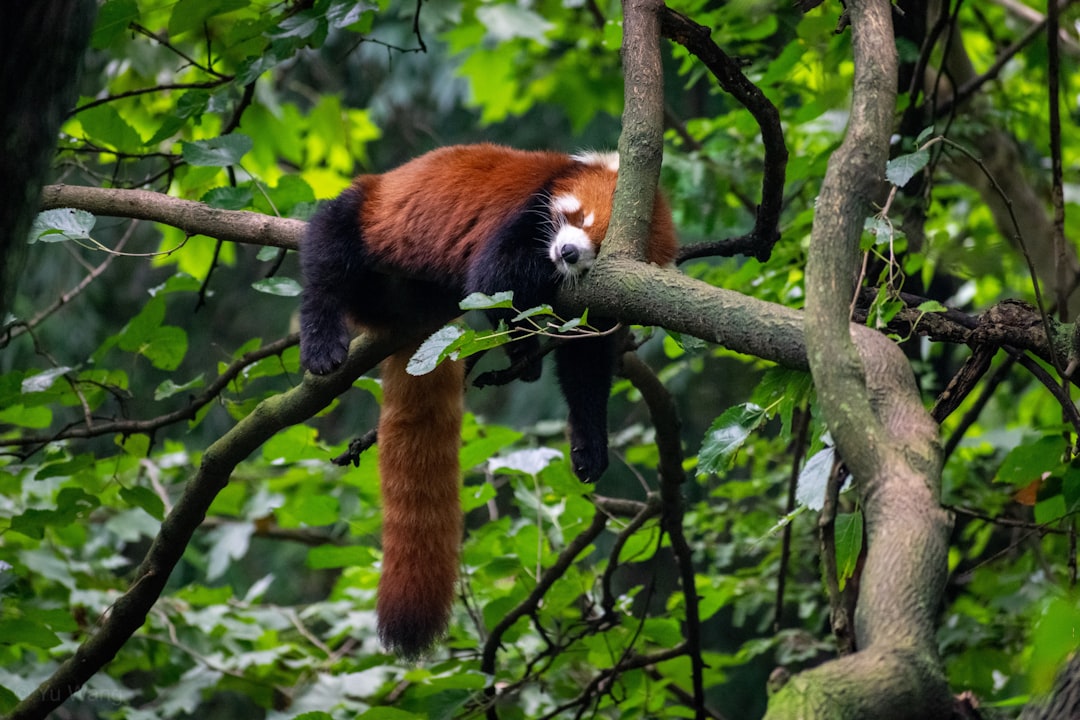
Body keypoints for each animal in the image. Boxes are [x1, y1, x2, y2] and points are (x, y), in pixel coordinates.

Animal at [298, 144, 673, 660]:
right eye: (578, 216)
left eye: (599, 247)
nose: (568, 252)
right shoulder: (525, 214)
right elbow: (496, 279)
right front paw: (524, 336)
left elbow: (585, 369)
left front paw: (589, 444)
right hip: (370, 212)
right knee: (328, 250)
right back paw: (322, 340)